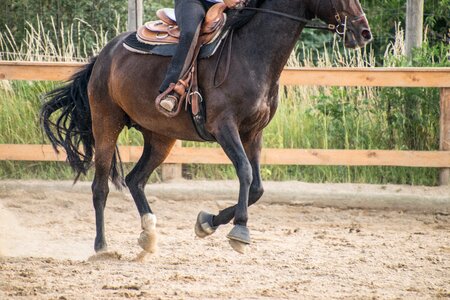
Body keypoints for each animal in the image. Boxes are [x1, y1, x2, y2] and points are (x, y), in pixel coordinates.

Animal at [41, 0, 372, 255]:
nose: (363, 32)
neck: (250, 52)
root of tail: (103, 56)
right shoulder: (225, 127)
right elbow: (245, 172)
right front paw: (240, 231)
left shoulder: (253, 133)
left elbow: (257, 187)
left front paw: (207, 222)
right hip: (106, 123)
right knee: (100, 186)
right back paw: (102, 247)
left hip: (160, 137)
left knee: (136, 179)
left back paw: (148, 235)